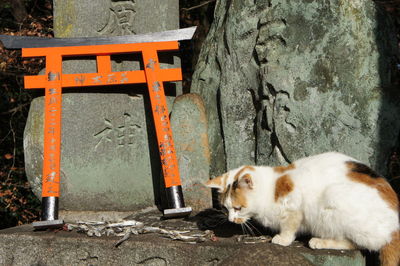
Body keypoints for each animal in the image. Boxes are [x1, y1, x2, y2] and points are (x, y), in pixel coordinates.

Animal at [206, 152, 400, 266]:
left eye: (238, 208)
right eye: (226, 208)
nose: (231, 219)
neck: (272, 187)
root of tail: (394, 229)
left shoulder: (295, 206)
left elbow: (290, 225)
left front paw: (282, 239)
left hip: (334, 197)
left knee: (354, 243)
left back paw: (319, 241)